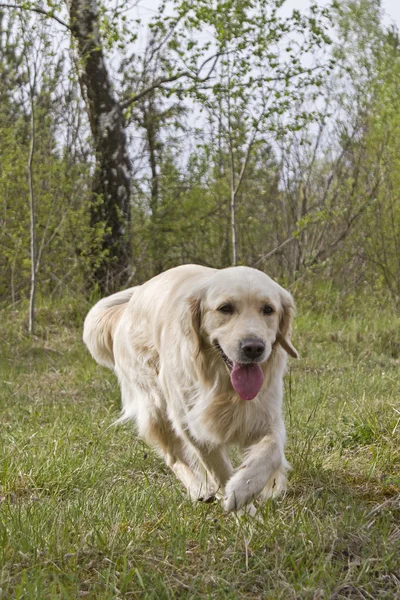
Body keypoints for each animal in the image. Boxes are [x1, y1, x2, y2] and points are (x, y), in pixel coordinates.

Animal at [83, 264, 296, 512]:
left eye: (268, 309)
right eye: (225, 308)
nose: (253, 347)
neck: (222, 387)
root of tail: (128, 307)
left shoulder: (266, 416)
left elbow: (271, 453)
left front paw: (245, 487)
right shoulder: (192, 426)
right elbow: (219, 469)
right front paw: (243, 508)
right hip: (157, 406)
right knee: (173, 457)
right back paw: (199, 489)